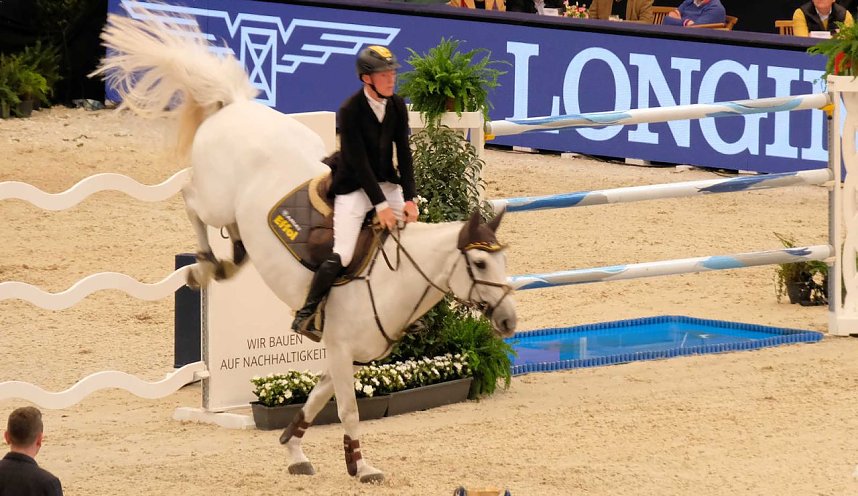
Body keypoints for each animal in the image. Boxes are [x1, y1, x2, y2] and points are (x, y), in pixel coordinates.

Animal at [93, 5, 517, 483]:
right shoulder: (340, 349)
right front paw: (361, 466)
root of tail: (236, 106)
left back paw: (227, 263)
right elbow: (348, 411)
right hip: (215, 200)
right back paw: (204, 264)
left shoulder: (348, 356)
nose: (509, 322)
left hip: (240, 213)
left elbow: (315, 401)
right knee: (190, 201)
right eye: (479, 265)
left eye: (502, 262)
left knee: (234, 235)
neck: (396, 279)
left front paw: (294, 449)